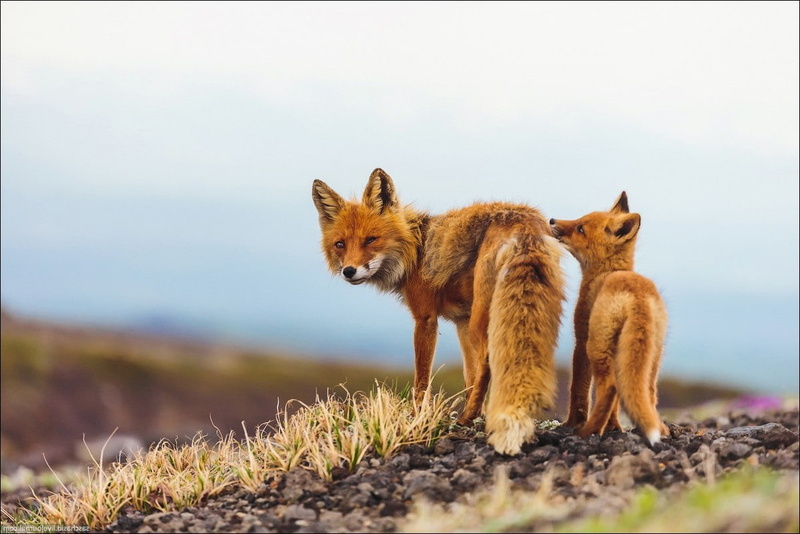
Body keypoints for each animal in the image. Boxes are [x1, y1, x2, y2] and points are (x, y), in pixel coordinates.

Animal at [312, 168, 565, 455]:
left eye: (371, 240)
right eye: (340, 244)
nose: (349, 271)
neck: (416, 251)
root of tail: (525, 217)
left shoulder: (426, 319)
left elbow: (422, 380)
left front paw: (418, 417)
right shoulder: (461, 321)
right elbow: (469, 375)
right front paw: (476, 415)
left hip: (484, 319)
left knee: (489, 361)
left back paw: (469, 417)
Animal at [549, 192, 669, 445]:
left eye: (581, 228)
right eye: (579, 220)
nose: (552, 220)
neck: (606, 272)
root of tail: (638, 297)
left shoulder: (581, 340)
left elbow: (578, 389)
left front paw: (572, 423)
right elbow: (616, 406)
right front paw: (614, 427)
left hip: (597, 347)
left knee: (609, 387)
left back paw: (588, 430)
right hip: (651, 357)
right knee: (647, 393)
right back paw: (658, 428)